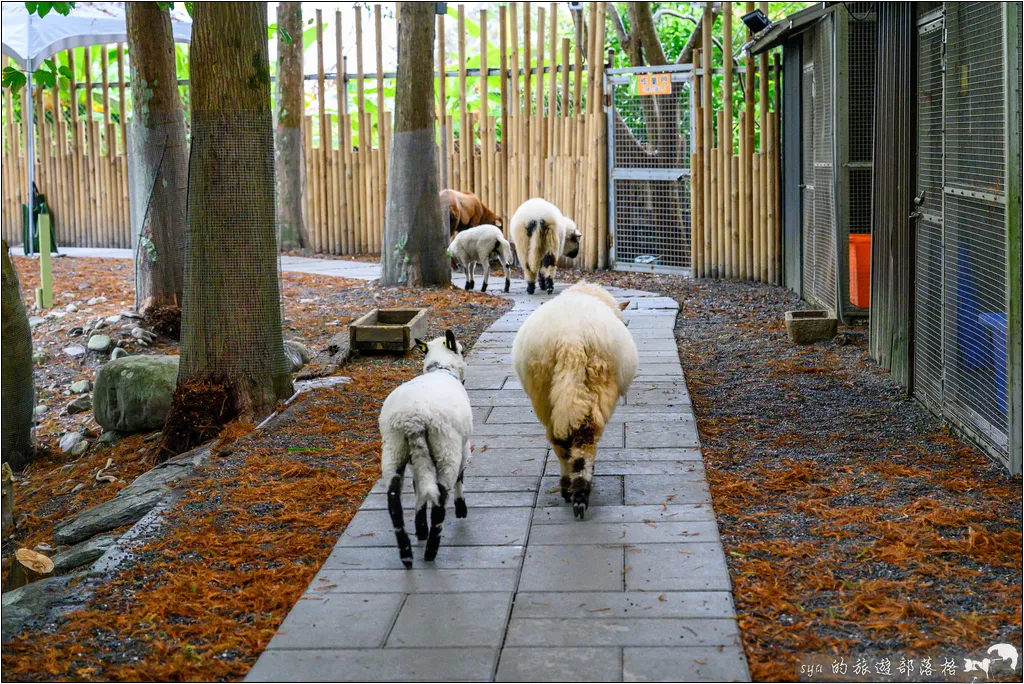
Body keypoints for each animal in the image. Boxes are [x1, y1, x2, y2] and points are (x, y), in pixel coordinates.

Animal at [376, 331, 471, 565]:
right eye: (462, 351)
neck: (441, 369)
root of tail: (412, 420)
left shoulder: (414, 461)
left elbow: (418, 489)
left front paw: (420, 528)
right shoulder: (464, 446)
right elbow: (461, 477)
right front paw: (461, 509)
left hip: (394, 449)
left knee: (394, 500)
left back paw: (407, 553)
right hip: (446, 448)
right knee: (441, 497)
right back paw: (430, 551)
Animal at [509, 282, 634, 518]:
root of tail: (571, 339)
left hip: (544, 391)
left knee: (560, 441)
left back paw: (568, 487)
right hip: (597, 384)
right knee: (585, 437)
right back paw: (580, 492)